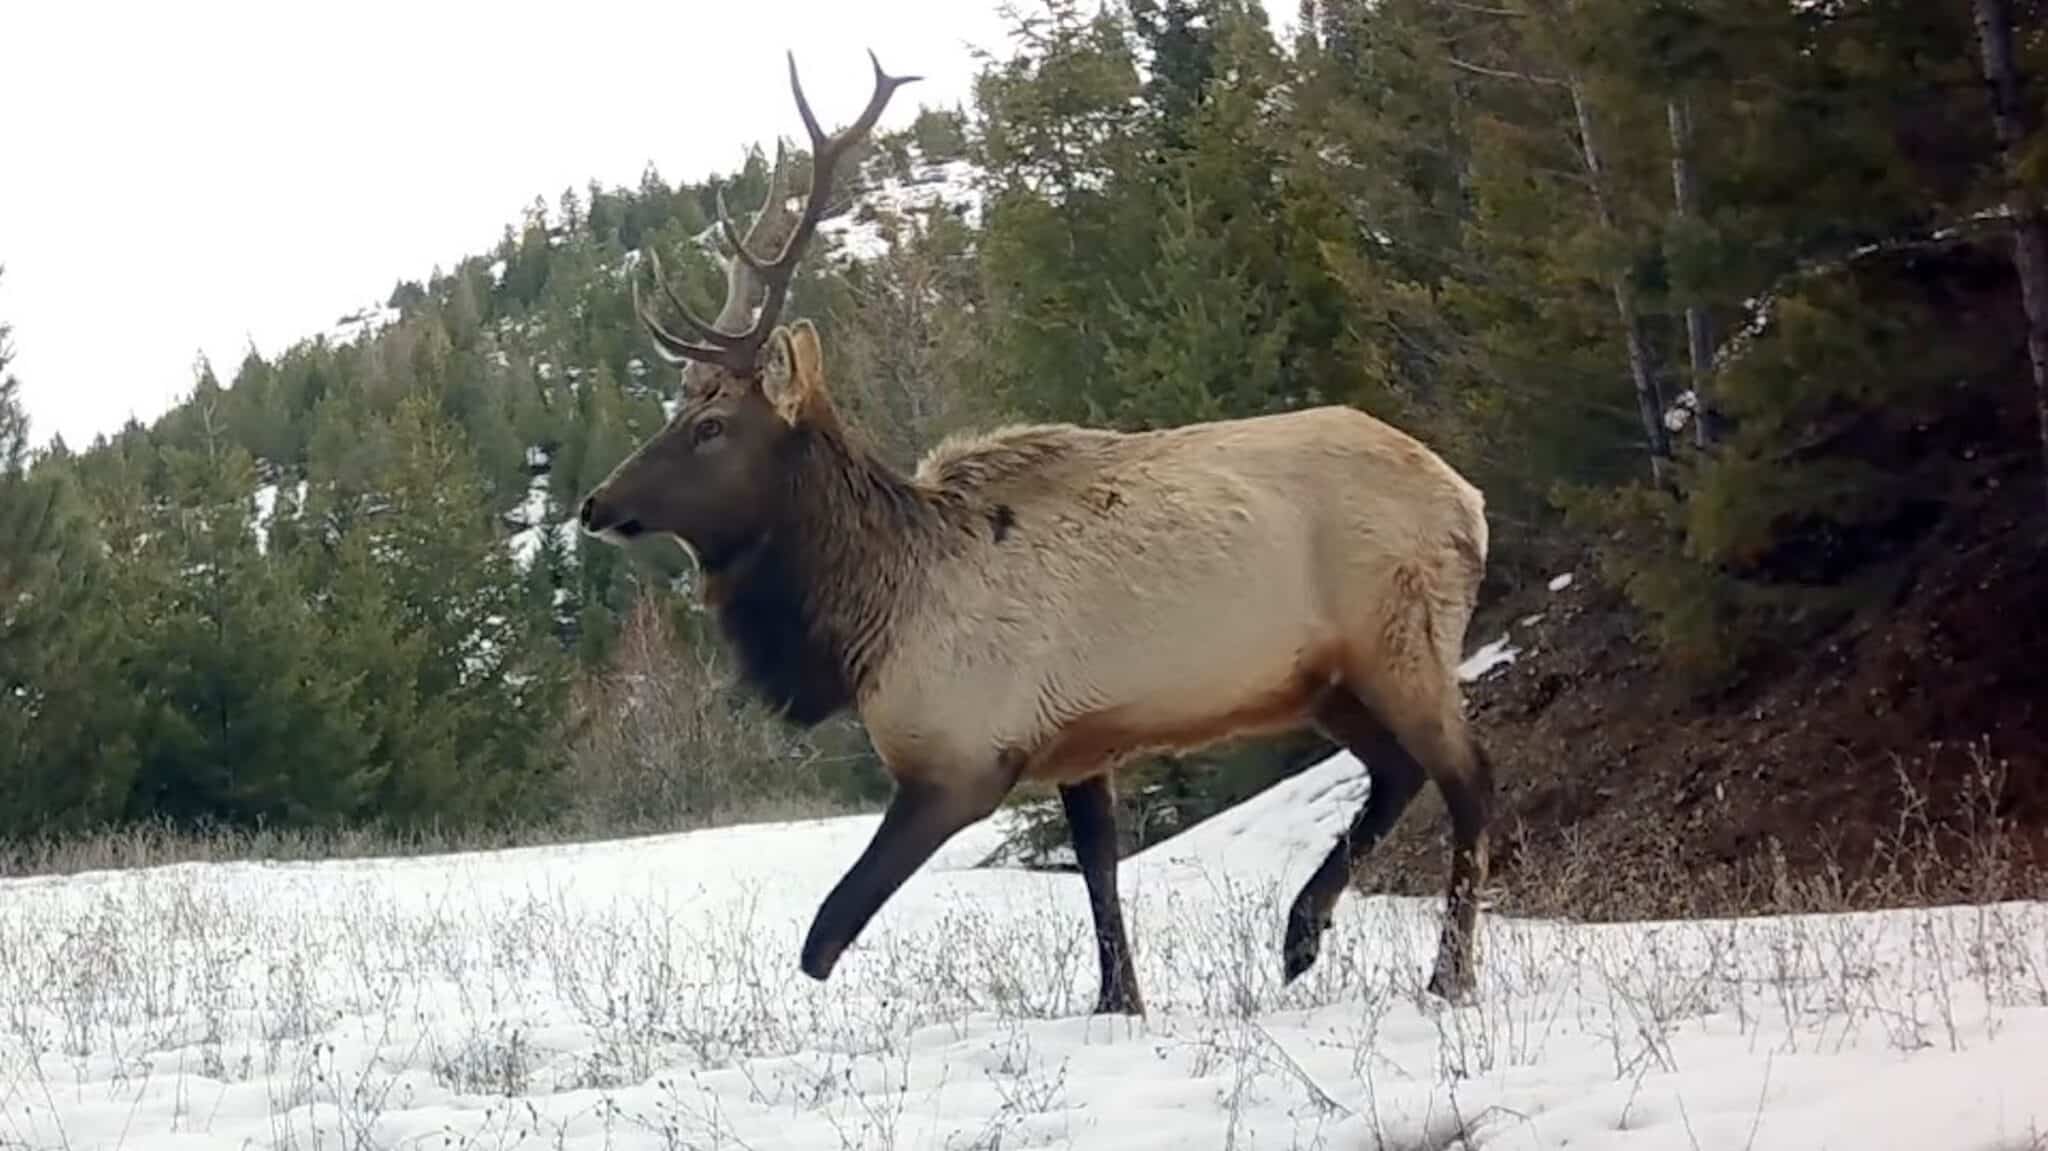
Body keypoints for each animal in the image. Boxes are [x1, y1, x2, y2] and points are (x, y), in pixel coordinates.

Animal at [578, 50, 1497, 1015]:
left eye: (711, 427)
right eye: (679, 410)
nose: (595, 504)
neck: (869, 617)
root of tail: (1468, 497)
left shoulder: (962, 759)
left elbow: (825, 933)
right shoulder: (1076, 744)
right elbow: (1100, 873)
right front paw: (1119, 1000)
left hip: (1401, 641)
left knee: (1469, 780)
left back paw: (1447, 974)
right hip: (1326, 679)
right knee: (1397, 772)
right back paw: (1301, 933)